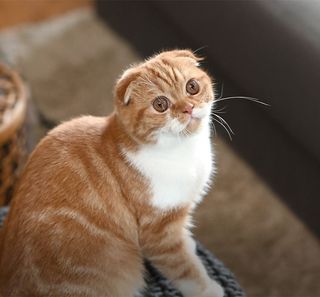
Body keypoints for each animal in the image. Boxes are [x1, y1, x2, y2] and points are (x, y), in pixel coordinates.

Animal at [0, 49, 224, 296]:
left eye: (192, 87)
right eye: (160, 104)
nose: (188, 108)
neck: (185, 150)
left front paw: (191, 247)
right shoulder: (158, 232)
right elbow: (183, 268)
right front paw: (208, 288)